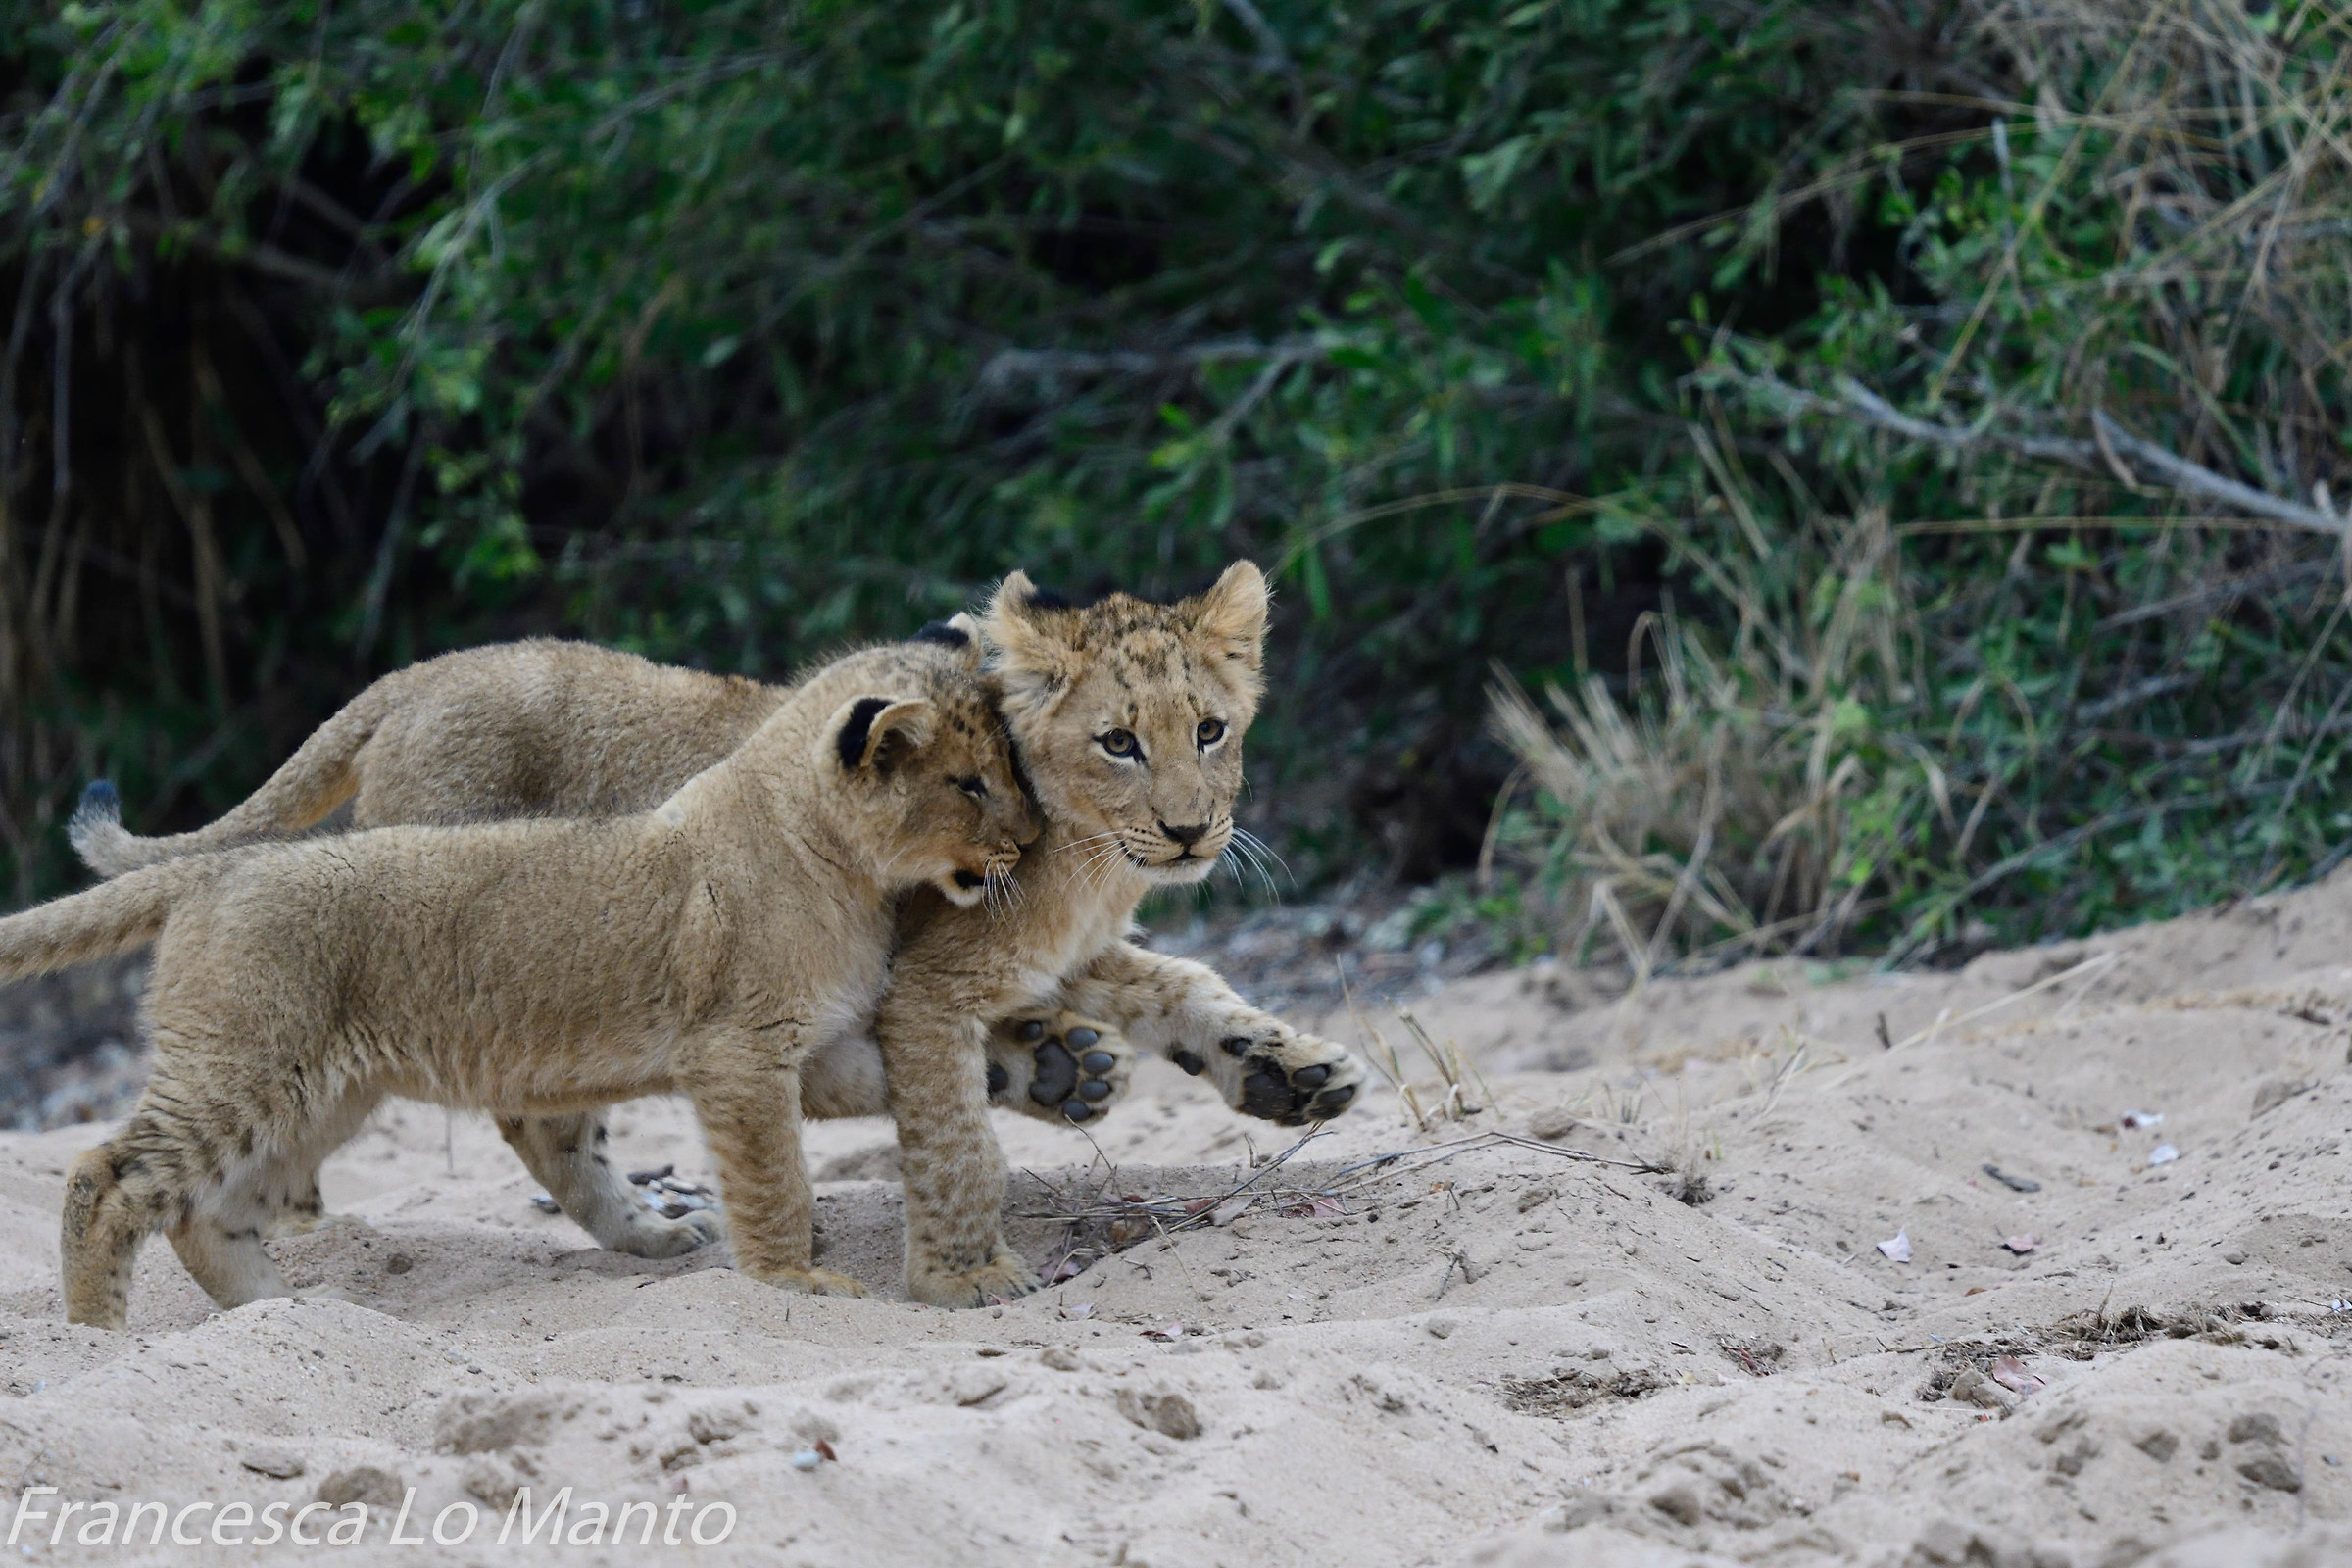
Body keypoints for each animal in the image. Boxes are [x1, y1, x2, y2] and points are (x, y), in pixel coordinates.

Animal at [6, 639, 1036, 1328]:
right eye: (971, 782)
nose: (1030, 842)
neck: (842, 865)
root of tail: (217, 868)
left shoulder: (815, 1047)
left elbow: (898, 1082)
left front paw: (1032, 1070)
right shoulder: (739, 1054)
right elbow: (774, 1178)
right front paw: (796, 1282)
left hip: (318, 1094)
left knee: (211, 1212)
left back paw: (286, 1312)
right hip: (243, 1067)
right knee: (108, 1178)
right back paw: (100, 1336)